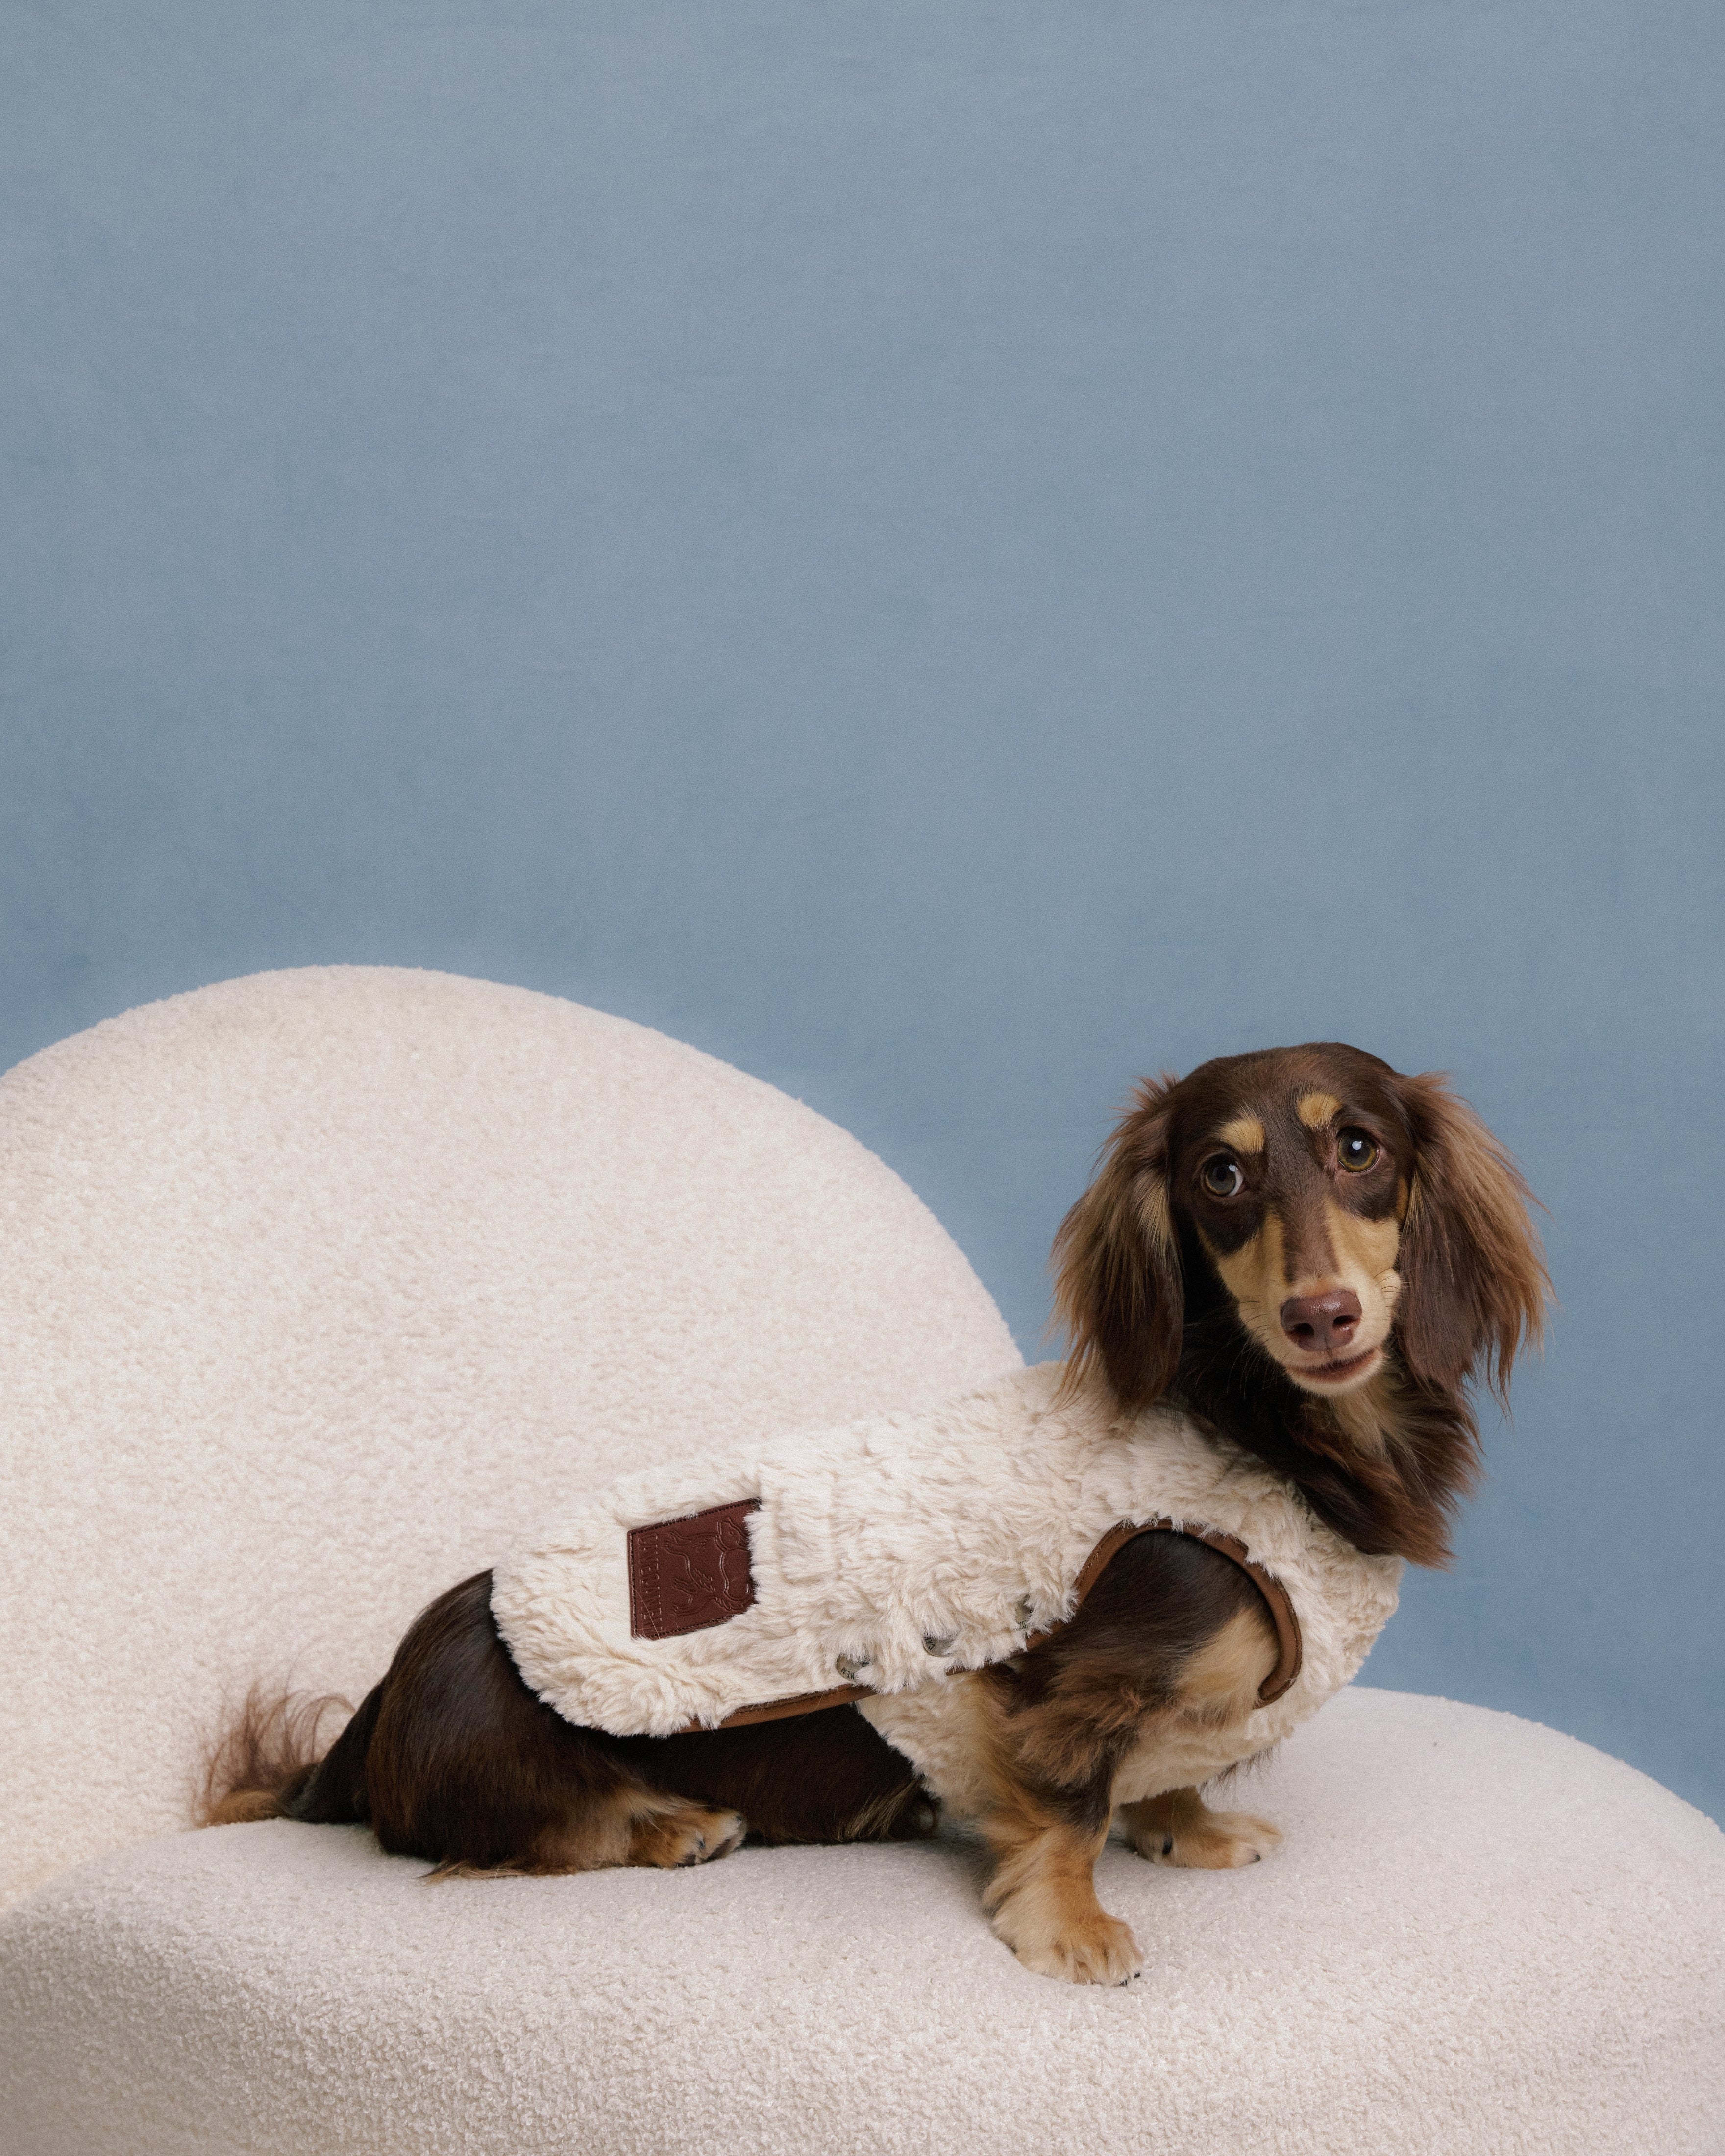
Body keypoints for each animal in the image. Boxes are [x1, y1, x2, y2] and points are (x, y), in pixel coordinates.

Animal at [206, 1043, 1552, 1984]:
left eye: (1359, 1147)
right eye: (1219, 1174)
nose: (1320, 1315)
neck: (1255, 1425)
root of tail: (375, 1708)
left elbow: (1170, 1770)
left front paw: (1189, 1825)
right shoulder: (1068, 1672)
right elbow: (1069, 1804)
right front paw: (1072, 1925)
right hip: (510, 1752)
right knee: (513, 1835)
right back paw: (668, 1827)